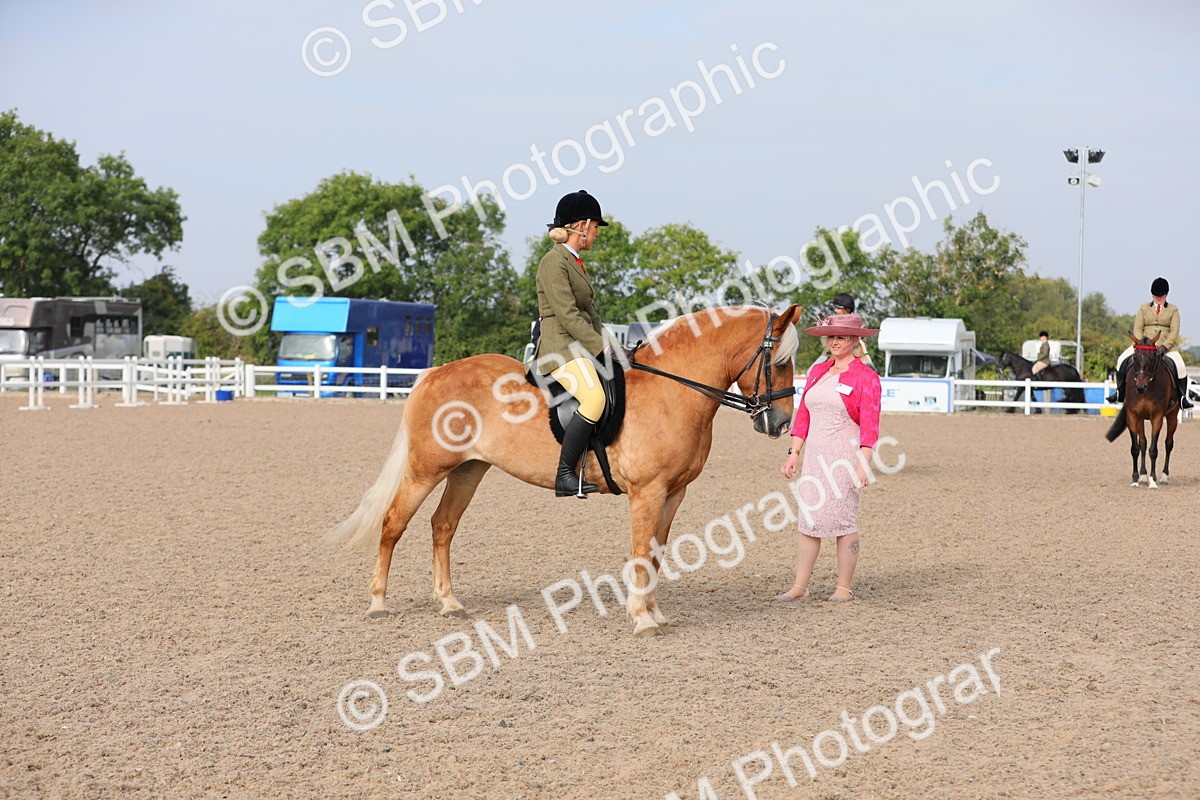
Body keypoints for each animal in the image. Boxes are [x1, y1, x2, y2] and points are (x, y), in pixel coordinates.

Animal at [327, 305, 803, 637]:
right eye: (779, 361)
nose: (780, 424)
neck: (672, 389)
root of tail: (435, 373)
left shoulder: (673, 493)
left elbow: (655, 553)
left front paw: (656, 614)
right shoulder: (647, 492)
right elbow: (639, 552)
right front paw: (641, 620)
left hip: (468, 470)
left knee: (442, 526)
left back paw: (449, 603)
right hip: (427, 470)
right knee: (393, 522)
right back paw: (378, 603)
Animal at [1105, 333, 1178, 487]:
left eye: (1152, 357)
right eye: (1135, 357)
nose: (1140, 386)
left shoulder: (1157, 417)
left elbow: (1153, 450)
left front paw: (1153, 480)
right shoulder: (1133, 416)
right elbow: (1136, 448)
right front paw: (1135, 478)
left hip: (1173, 416)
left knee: (1168, 443)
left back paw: (1164, 476)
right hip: (1140, 419)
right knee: (1143, 443)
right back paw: (1143, 475)